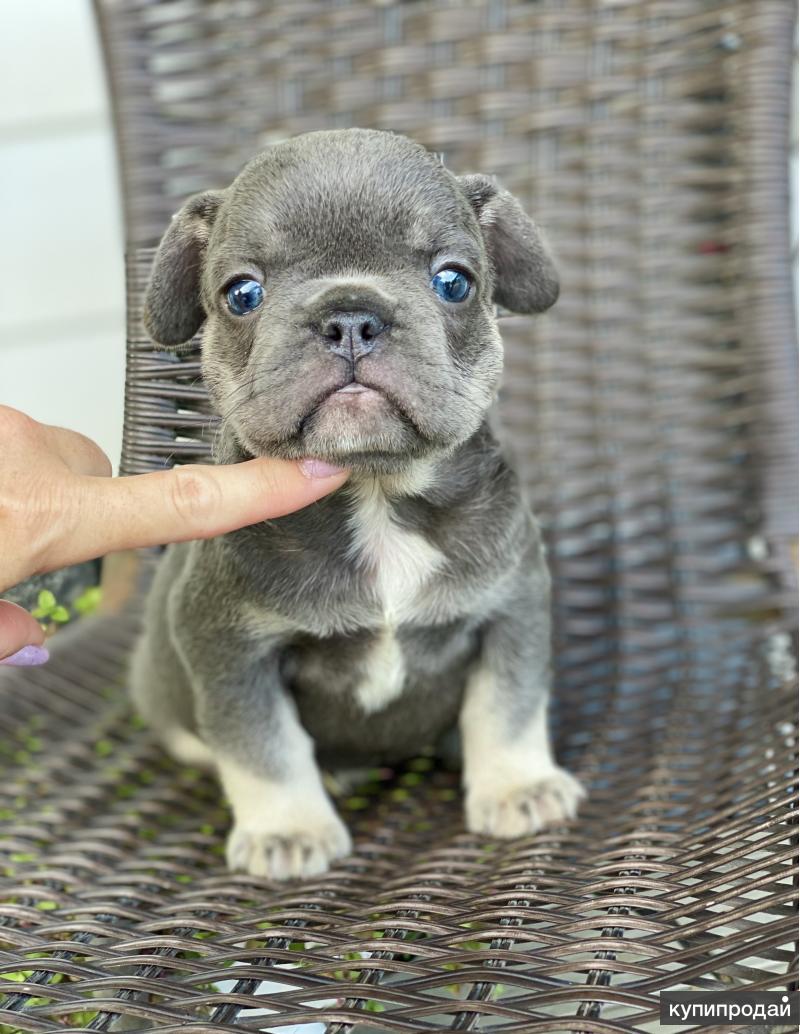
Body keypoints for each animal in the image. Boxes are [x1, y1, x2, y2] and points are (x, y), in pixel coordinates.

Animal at [130, 125, 582, 876]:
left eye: (454, 282)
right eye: (242, 293)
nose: (349, 317)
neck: (374, 493)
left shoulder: (510, 609)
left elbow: (507, 705)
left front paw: (519, 785)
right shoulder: (232, 652)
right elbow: (263, 745)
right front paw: (287, 829)